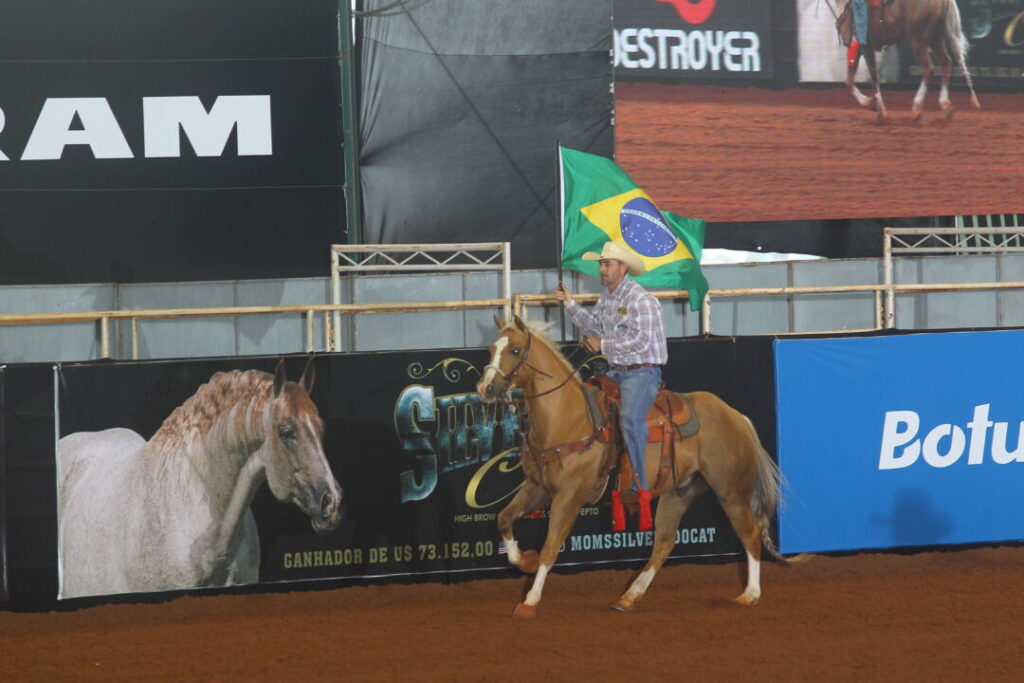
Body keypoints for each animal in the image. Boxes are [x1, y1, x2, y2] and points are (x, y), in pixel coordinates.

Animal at [476, 316, 805, 617]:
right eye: (492, 349)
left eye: (516, 350)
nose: (485, 388)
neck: (567, 419)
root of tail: (737, 417)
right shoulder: (538, 488)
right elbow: (503, 519)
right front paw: (524, 560)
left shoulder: (569, 496)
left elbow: (551, 545)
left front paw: (530, 600)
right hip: (679, 492)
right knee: (664, 543)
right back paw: (628, 596)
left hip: (731, 490)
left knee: (749, 532)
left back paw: (749, 594)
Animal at [836, 0, 980, 122]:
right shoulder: (859, 48)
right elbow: (850, 80)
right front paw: (873, 105)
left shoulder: (864, 46)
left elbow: (872, 77)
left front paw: (878, 109)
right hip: (936, 39)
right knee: (946, 63)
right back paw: (945, 105)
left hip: (918, 41)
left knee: (929, 69)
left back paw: (917, 108)